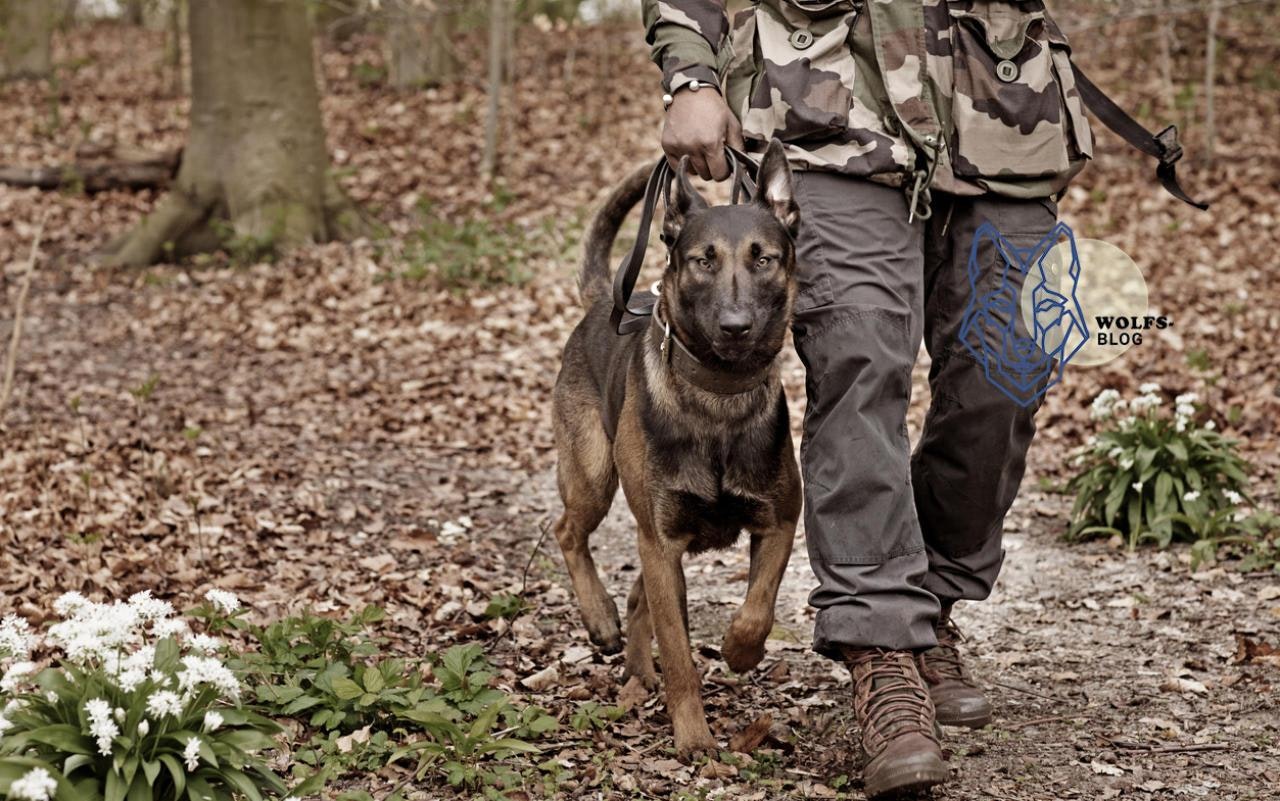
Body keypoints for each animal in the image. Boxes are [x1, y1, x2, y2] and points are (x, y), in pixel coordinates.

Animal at [551, 139, 802, 758]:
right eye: (702, 261)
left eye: (764, 259)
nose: (736, 326)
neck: (717, 396)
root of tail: (606, 301)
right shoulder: (662, 544)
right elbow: (681, 656)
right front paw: (693, 737)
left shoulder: (780, 523)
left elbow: (757, 606)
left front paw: (740, 651)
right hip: (594, 479)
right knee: (568, 532)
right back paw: (600, 619)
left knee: (639, 596)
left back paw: (639, 674)